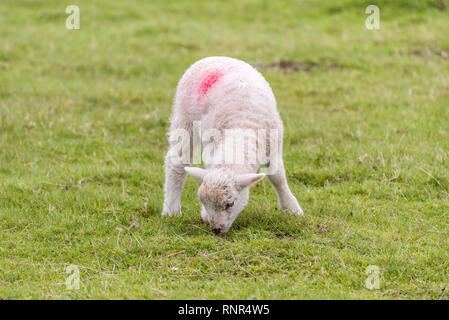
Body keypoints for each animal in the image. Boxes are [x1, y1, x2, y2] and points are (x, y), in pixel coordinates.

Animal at [161, 56, 300, 234]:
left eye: (230, 204)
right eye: (204, 202)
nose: (216, 230)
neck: (241, 129)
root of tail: (213, 57)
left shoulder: (274, 148)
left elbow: (278, 178)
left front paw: (292, 208)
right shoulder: (212, 149)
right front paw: (205, 214)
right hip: (184, 116)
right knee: (176, 162)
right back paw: (171, 210)